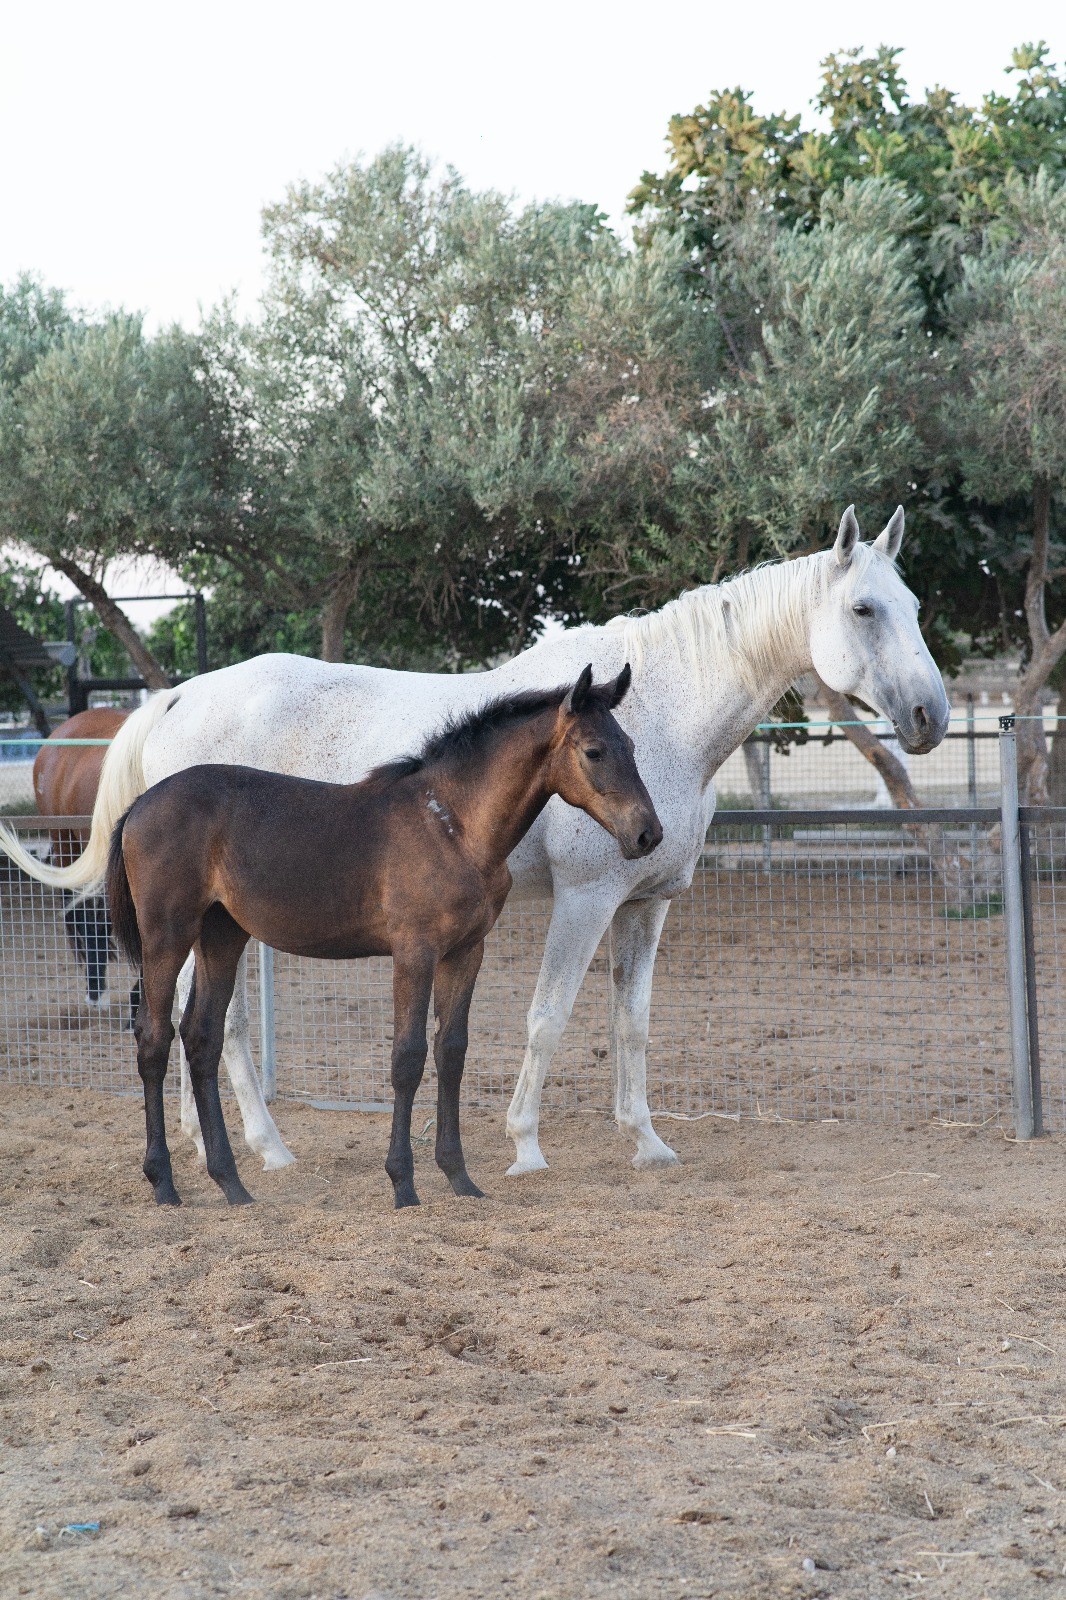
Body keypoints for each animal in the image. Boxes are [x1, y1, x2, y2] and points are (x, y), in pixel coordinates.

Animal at [105, 666, 661, 1209]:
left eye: (633, 746)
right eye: (594, 751)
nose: (648, 834)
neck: (453, 826)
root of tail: (139, 804)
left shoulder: (466, 952)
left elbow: (451, 1052)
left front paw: (460, 1178)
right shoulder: (414, 952)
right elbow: (407, 1058)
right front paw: (403, 1184)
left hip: (221, 935)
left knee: (202, 1037)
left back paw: (232, 1184)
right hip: (167, 936)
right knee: (153, 1038)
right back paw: (164, 1182)